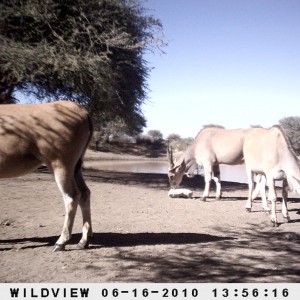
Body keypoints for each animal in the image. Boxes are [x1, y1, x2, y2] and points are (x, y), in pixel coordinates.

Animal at [0, 101, 93, 251]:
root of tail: (82, 111)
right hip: (76, 167)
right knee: (85, 193)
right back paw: (83, 240)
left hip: (60, 165)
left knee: (72, 196)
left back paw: (61, 242)